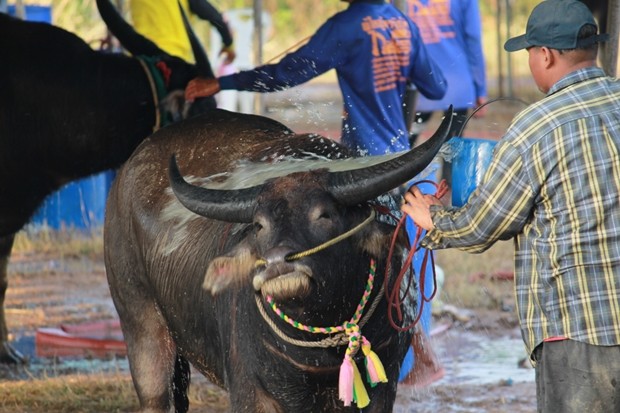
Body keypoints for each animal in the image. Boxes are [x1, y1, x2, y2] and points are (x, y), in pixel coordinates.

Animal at [101, 108, 450, 410]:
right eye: (259, 224)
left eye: (324, 215)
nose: (278, 263)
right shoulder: (249, 390)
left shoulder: (383, 385)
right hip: (140, 325)